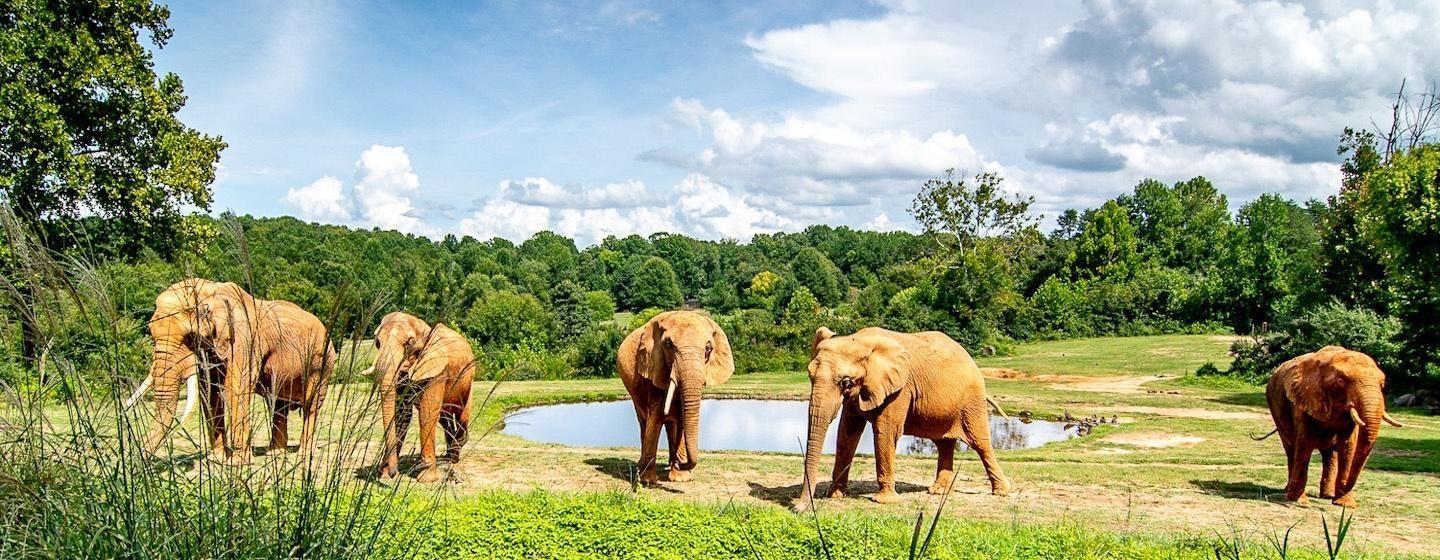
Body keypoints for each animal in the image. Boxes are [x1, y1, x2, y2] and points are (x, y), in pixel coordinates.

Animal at [368, 309, 475, 480]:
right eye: (377, 343)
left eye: (409, 344)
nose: (392, 473)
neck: (424, 329)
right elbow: (402, 414)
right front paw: (384, 475)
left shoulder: (437, 369)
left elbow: (427, 413)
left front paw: (426, 478)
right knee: (444, 418)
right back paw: (448, 456)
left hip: (468, 380)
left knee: (462, 415)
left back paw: (453, 458)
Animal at [616, 308, 731, 480]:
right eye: (668, 345)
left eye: (708, 348)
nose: (681, 463)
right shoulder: (654, 367)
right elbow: (656, 416)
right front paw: (647, 480)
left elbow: (683, 417)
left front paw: (681, 478)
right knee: (644, 420)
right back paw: (642, 467)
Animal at [794, 325, 1008, 509]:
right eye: (810, 377)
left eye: (845, 382)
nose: (797, 508)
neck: (860, 341)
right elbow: (847, 433)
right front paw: (836, 495)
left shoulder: (900, 390)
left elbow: (885, 432)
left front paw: (883, 501)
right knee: (943, 444)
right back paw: (937, 491)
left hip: (972, 398)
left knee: (980, 443)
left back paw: (1001, 492)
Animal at [1261, 344, 1405, 506]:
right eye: (1340, 381)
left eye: (1382, 384)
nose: (1345, 488)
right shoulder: (1306, 399)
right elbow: (1304, 444)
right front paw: (1300, 502)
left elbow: (1348, 446)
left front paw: (1345, 504)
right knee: (1291, 448)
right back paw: (1290, 491)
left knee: (1329, 454)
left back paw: (1328, 495)